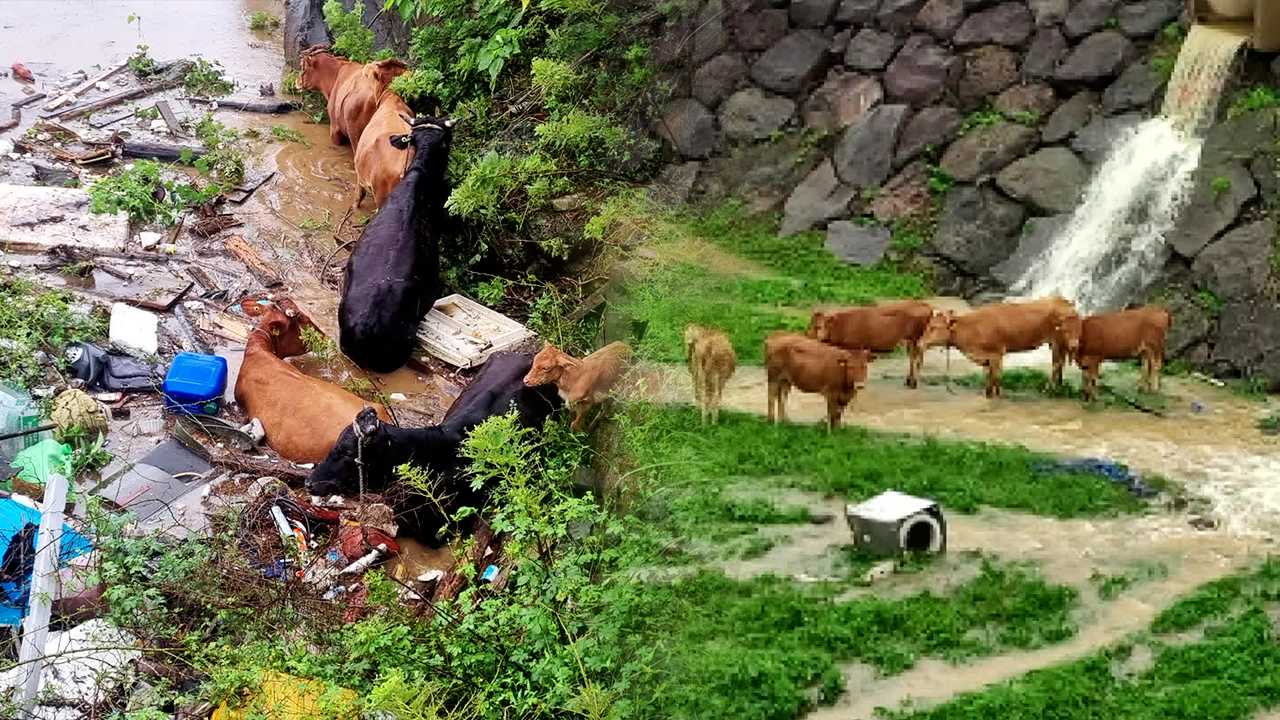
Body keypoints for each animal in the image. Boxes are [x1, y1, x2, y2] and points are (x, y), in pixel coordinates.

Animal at [921, 295, 1080, 399]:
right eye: (928, 325)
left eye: (934, 327)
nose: (920, 343)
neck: (973, 328)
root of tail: (1064, 301)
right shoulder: (986, 358)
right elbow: (988, 378)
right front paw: (987, 394)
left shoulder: (996, 354)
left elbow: (997, 377)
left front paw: (999, 396)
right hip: (1058, 344)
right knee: (1059, 365)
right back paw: (1058, 388)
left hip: (1058, 342)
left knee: (1056, 365)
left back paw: (1049, 390)